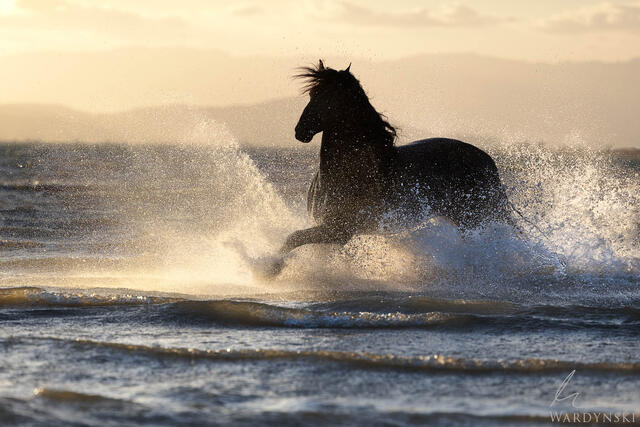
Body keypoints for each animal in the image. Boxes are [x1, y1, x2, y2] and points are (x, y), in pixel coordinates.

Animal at [268, 60, 513, 276]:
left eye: (328, 96)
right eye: (312, 94)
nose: (300, 131)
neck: (349, 170)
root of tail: (487, 161)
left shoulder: (339, 231)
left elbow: (293, 238)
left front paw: (270, 268)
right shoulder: (324, 226)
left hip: (473, 220)